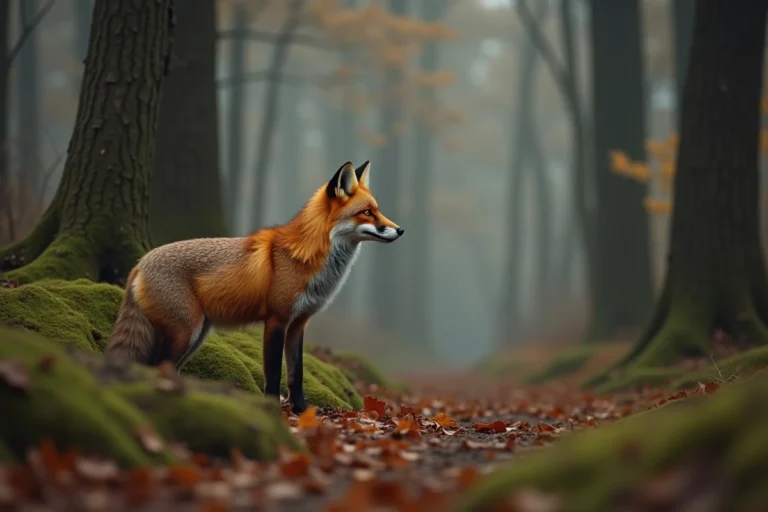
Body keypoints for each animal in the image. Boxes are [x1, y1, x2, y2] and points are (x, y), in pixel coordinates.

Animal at [105, 161, 403, 413]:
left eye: (378, 210)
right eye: (367, 213)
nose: (401, 230)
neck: (307, 258)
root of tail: (140, 263)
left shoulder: (299, 324)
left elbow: (296, 375)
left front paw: (301, 410)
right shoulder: (276, 320)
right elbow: (273, 374)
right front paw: (273, 410)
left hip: (196, 335)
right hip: (185, 332)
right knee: (156, 366)